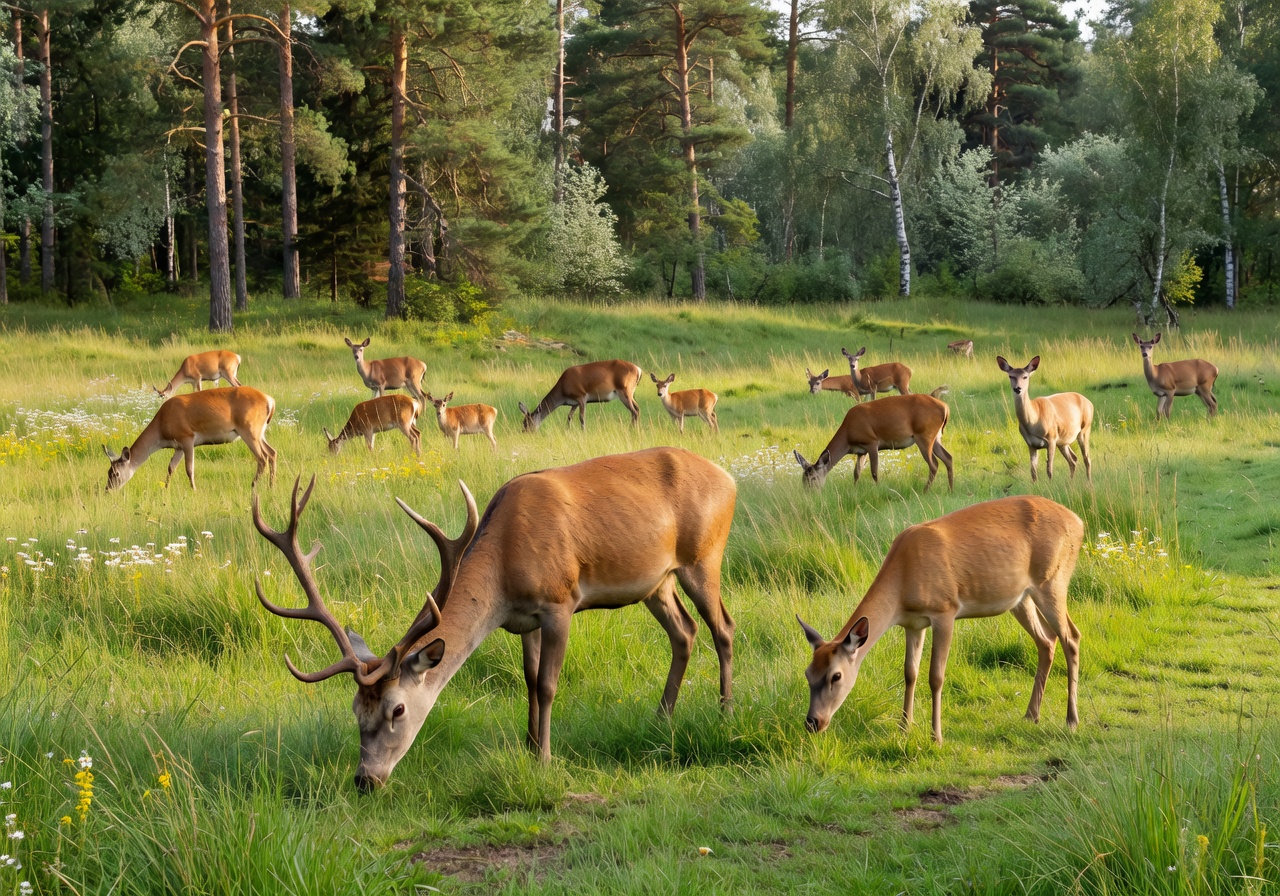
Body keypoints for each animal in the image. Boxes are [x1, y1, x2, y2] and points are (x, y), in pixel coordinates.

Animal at [104, 386, 276, 491]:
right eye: (108, 471)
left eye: (116, 474)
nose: (108, 490)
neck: (161, 428)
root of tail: (270, 400)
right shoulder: (178, 446)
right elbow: (171, 467)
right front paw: (166, 488)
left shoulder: (187, 437)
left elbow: (189, 468)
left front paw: (194, 489)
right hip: (260, 432)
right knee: (272, 453)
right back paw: (270, 486)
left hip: (249, 429)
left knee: (262, 457)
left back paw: (253, 485)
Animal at [251, 446, 737, 790]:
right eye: (355, 709)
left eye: (398, 709)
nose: (365, 780)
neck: (505, 568)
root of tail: (729, 478)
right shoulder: (524, 620)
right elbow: (529, 680)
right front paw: (528, 747)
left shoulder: (559, 602)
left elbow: (548, 684)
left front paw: (545, 759)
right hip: (657, 582)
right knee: (685, 632)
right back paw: (661, 719)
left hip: (704, 556)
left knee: (723, 628)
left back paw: (725, 713)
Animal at [792, 394, 954, 491]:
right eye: (802, 479)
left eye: (813, 478)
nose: (809, 494)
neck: (848, 436)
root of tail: (945, 407)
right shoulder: (860, 451)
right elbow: (856, 473)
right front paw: (855, 490)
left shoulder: (871, 442)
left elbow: (874, 472)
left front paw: (879, 489)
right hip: (936, 436)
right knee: (948, 457)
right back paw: (950, 489)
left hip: (924, 434)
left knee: (934, 464)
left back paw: (925, 490)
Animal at [797, 495, 1083, 744]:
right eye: (808, 673)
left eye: (836, 676)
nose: (813, 723)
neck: (903, 583)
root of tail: (1079, 523)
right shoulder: (913, 624)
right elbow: (909, 672)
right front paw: (904, 727)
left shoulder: (945, 610)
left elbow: (936, 676)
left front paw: (936, 736)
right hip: (1021, 599)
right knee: (1047, 640)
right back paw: (1031, 715)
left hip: (1052, 581)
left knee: (1071, 637)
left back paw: (1071, 720)